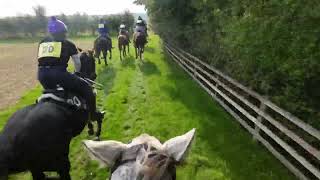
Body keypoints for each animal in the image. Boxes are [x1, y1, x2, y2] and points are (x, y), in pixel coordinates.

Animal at [0, 51, 103, 180]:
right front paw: (96, 134)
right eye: (92, 60)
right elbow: (98, 117)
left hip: (37, 168)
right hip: (59, 161)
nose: (94, 75)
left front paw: (91, 130)